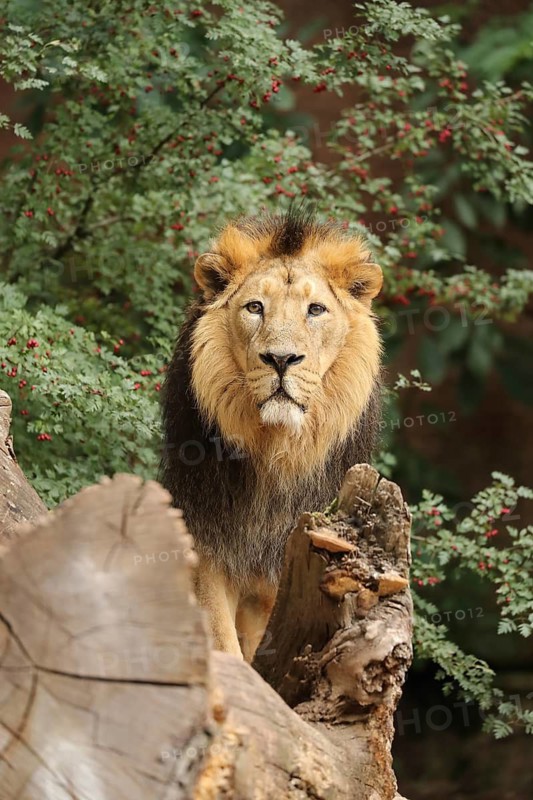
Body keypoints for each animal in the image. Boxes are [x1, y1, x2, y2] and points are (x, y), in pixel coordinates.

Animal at [161, 206, 383, 661]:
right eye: (254, 307)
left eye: (315, 310)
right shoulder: (210, 546)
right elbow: (223, 643)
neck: (277, 451)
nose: (281, 359)